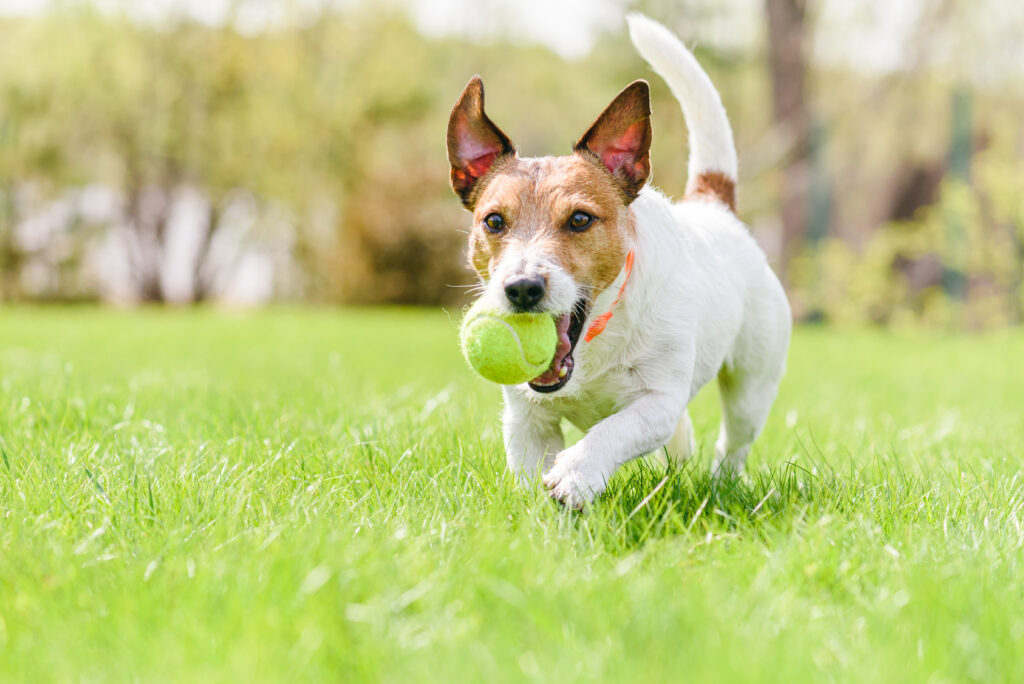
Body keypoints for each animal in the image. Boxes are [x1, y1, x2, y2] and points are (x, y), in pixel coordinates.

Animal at [446, 13, 790, 507]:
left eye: (580, 219)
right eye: (494, 221)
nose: (522, 288)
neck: (595, 338)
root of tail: (713, 207)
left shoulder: (658, 402)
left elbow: (614, 430)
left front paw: (576, 473)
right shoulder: (527, 419)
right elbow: (532, 469)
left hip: (752, 384)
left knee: (733, 443)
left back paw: (720, 485)